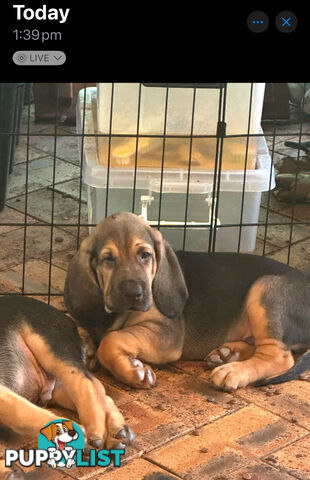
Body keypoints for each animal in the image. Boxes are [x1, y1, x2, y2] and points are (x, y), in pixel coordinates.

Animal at [0, 296, 133, 480]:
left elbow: (16, 411)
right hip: (58, 390)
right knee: (102, 394)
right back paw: (117, 434)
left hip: (51, 344)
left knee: (87, 382)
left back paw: (94, 434)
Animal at [64, 212, 310, 392]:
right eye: (108, 259)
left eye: (145, 255)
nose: (134, 293)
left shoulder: (166, 332)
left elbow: (112, 340)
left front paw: (134, 371)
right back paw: (228, 354)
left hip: (266, 288)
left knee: (278, 356)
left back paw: (233, 371)